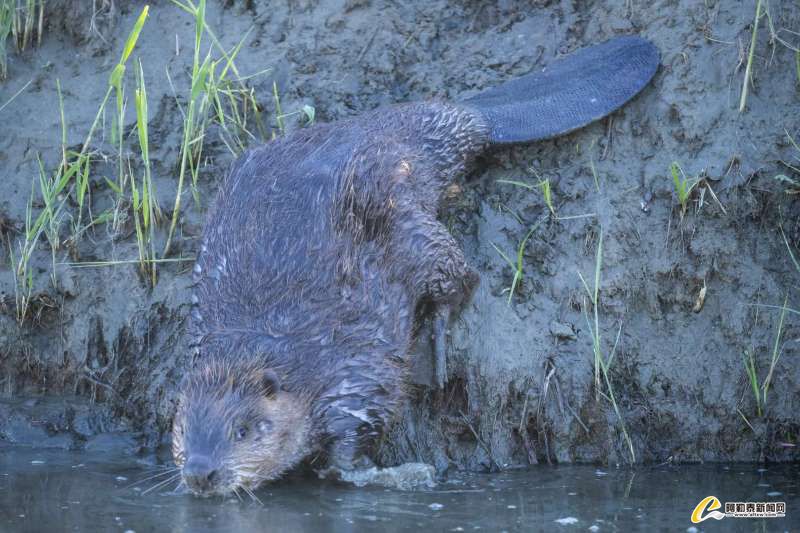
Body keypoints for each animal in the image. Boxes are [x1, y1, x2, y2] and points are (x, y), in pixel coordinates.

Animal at [172, 36, 660, 494]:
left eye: (242, 429)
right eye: (181, 429)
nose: (200, 473)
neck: (271, 348)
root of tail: (469, 117)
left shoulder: (351, 371)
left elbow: (359, 434)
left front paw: (404, 473)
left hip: (415, 229)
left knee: (461, 278)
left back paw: (438, 347)